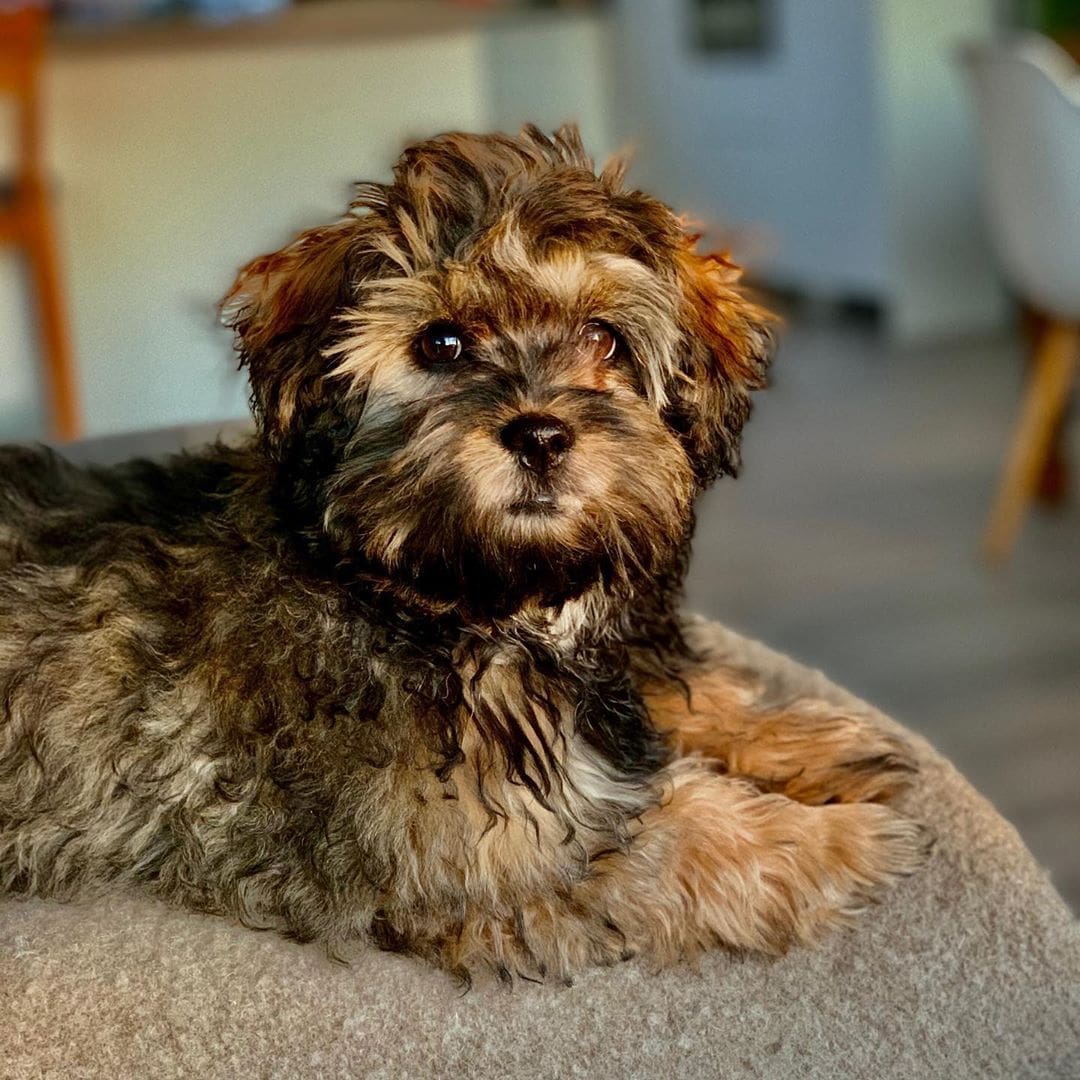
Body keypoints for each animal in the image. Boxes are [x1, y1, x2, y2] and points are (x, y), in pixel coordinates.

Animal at [0, 124, 928, 980]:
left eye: (604, 339)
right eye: (440, 344)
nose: (540, 435)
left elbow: (684, 693)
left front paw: (817, 741)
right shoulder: (485, 853)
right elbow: (684, 837)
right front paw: (842, 838)